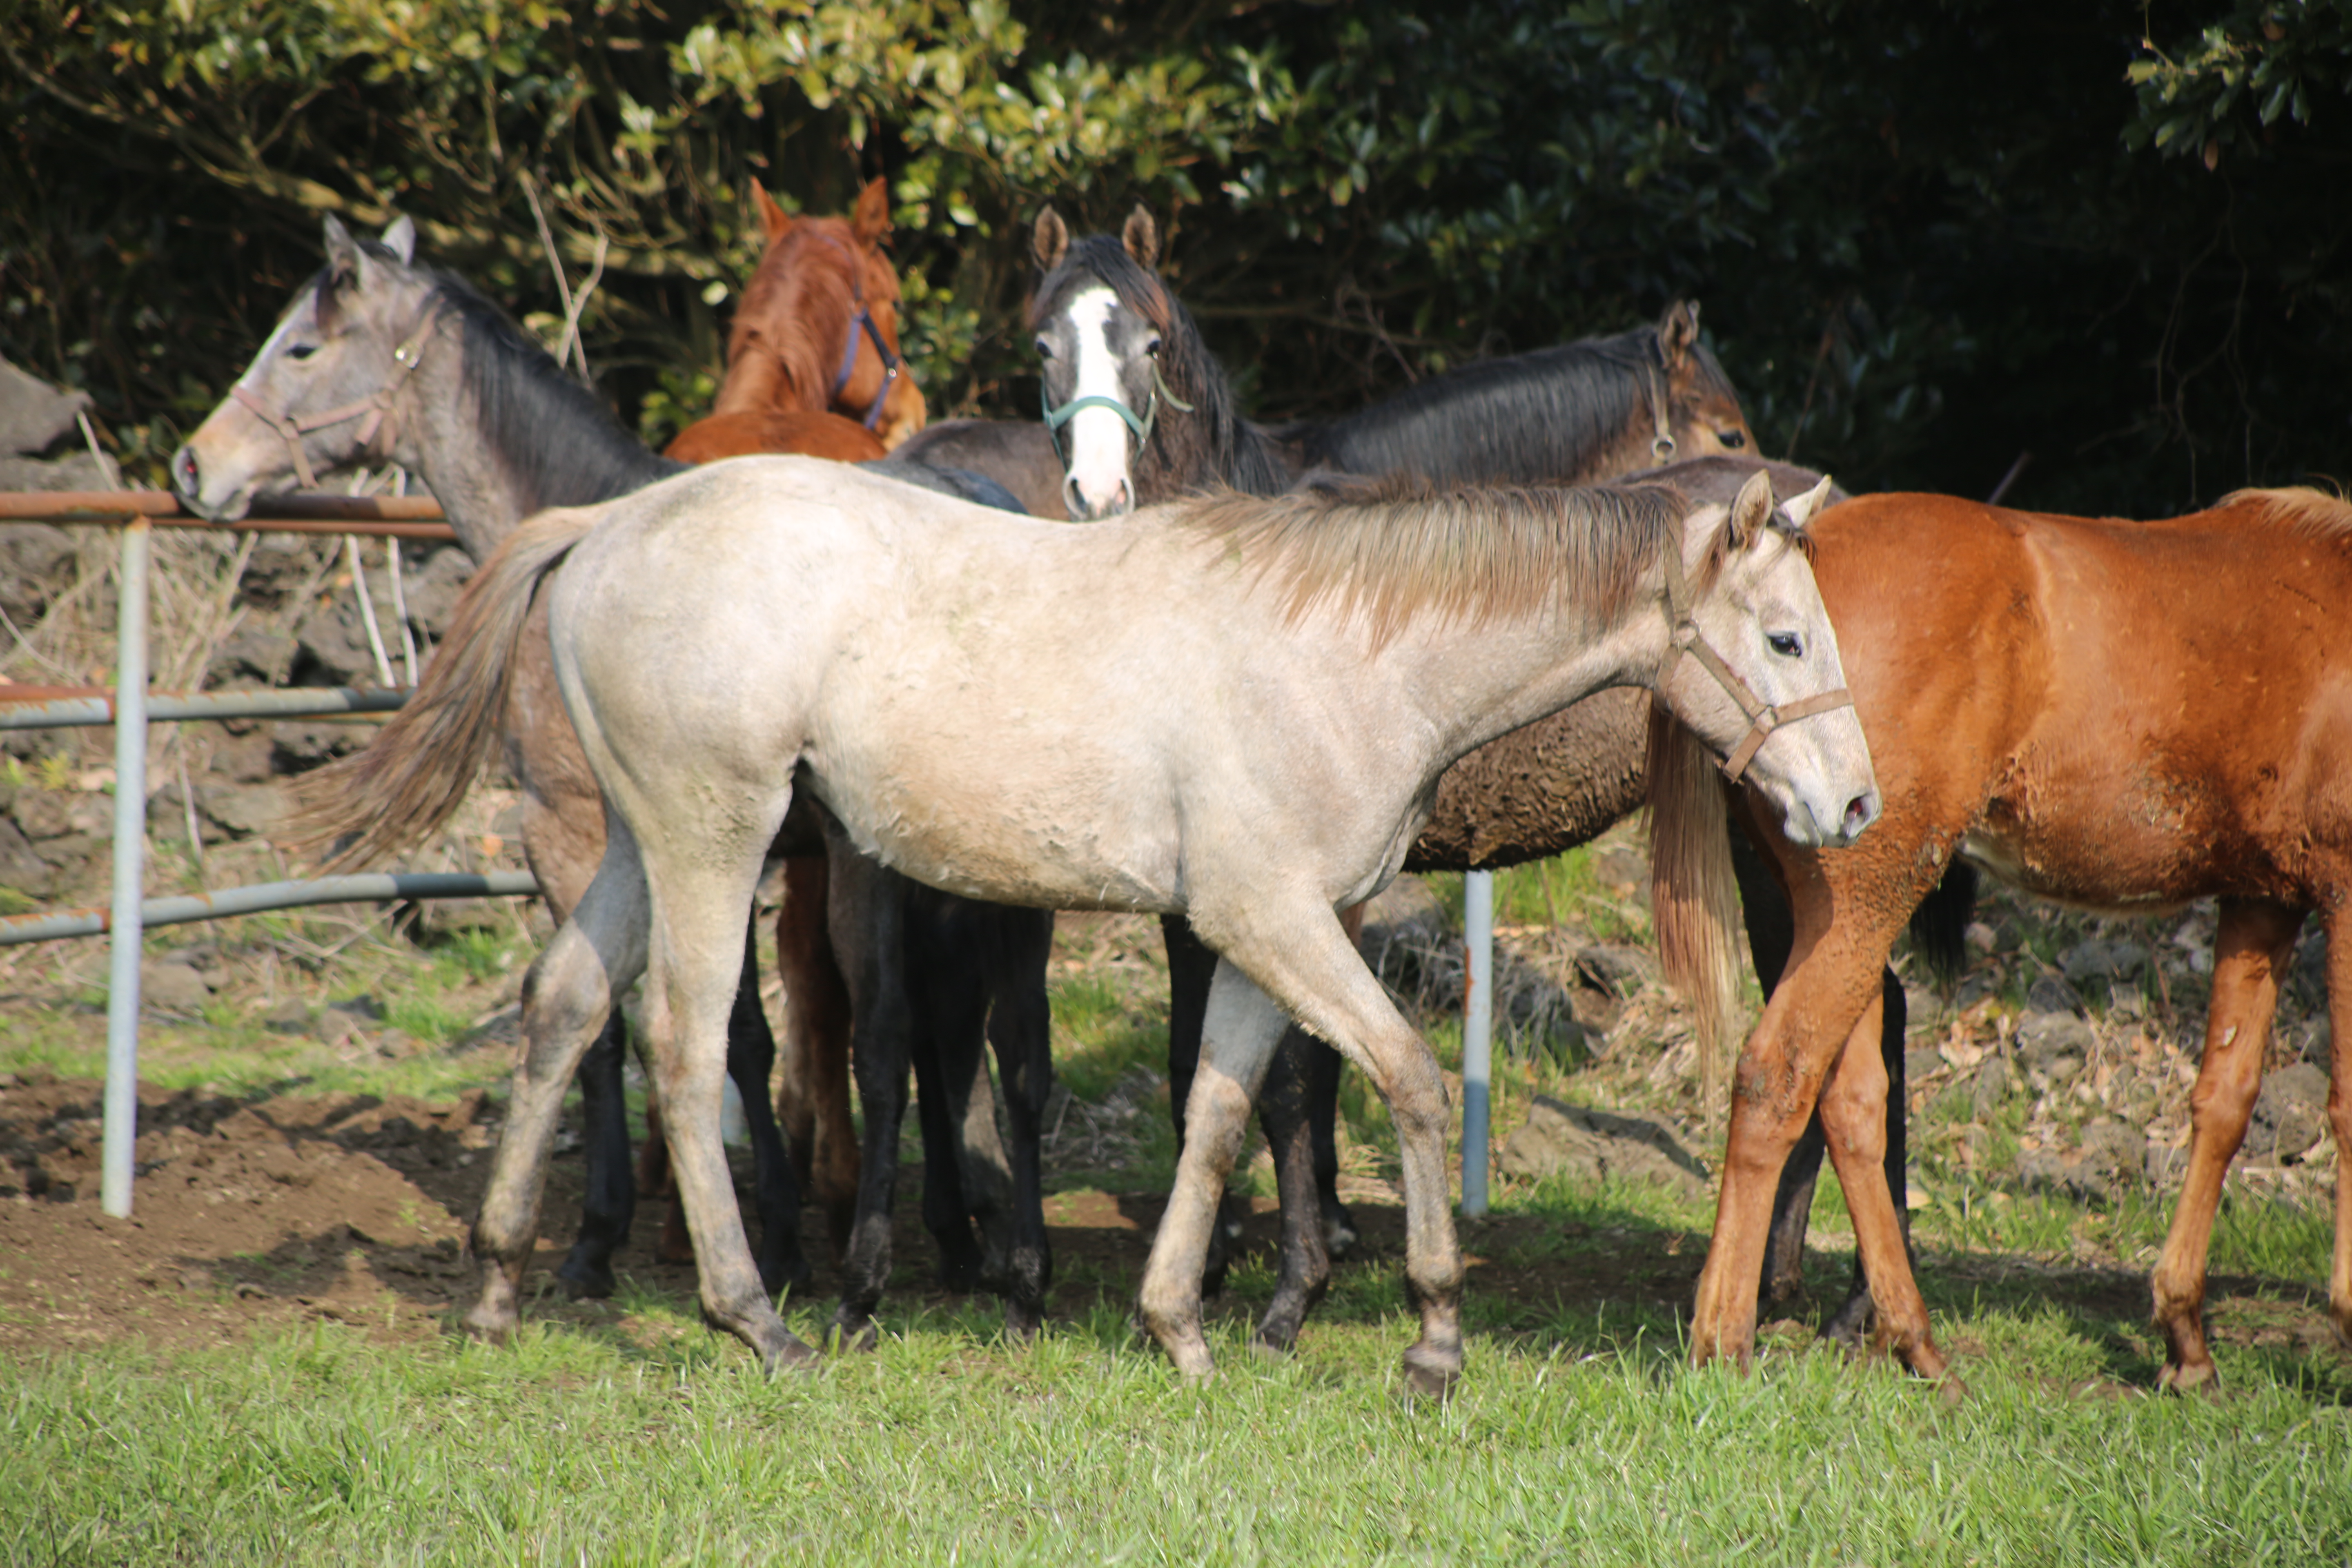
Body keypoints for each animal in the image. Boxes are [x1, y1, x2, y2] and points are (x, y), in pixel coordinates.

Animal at [1656, 484, 2352, 1392]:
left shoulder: (2260, 899)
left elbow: (2223, 1104)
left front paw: (2184, 1332)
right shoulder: (2342, 887)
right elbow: (2344, 1104)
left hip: (1846, 915)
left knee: (1850, 1101)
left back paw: (1909, 1336)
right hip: (1867, 903)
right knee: (1779, 1078)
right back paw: (1726, 1338)